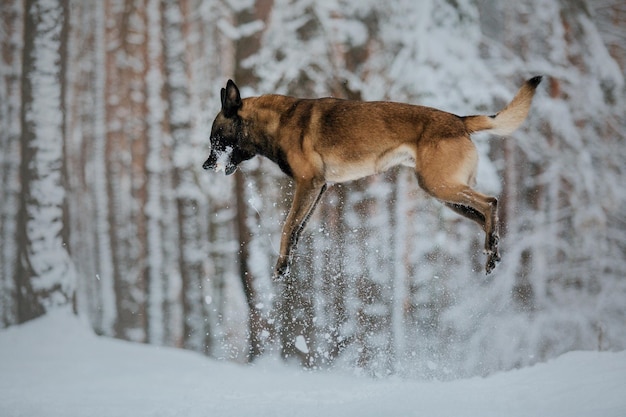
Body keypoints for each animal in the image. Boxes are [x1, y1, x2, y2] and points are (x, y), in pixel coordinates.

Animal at [202, 75, 540, 276]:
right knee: (484, 215)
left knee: (491, 202)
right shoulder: (318, 188)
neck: (277, 122)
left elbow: (287, 226)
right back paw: (492, 249)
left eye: (216, 139)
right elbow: (297, 228)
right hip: (445, 194)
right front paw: (288, 262)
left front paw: (280, 264)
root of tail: (459, 120)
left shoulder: (308, 184)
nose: (206, 166)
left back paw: (491, 249)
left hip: (440, 185)